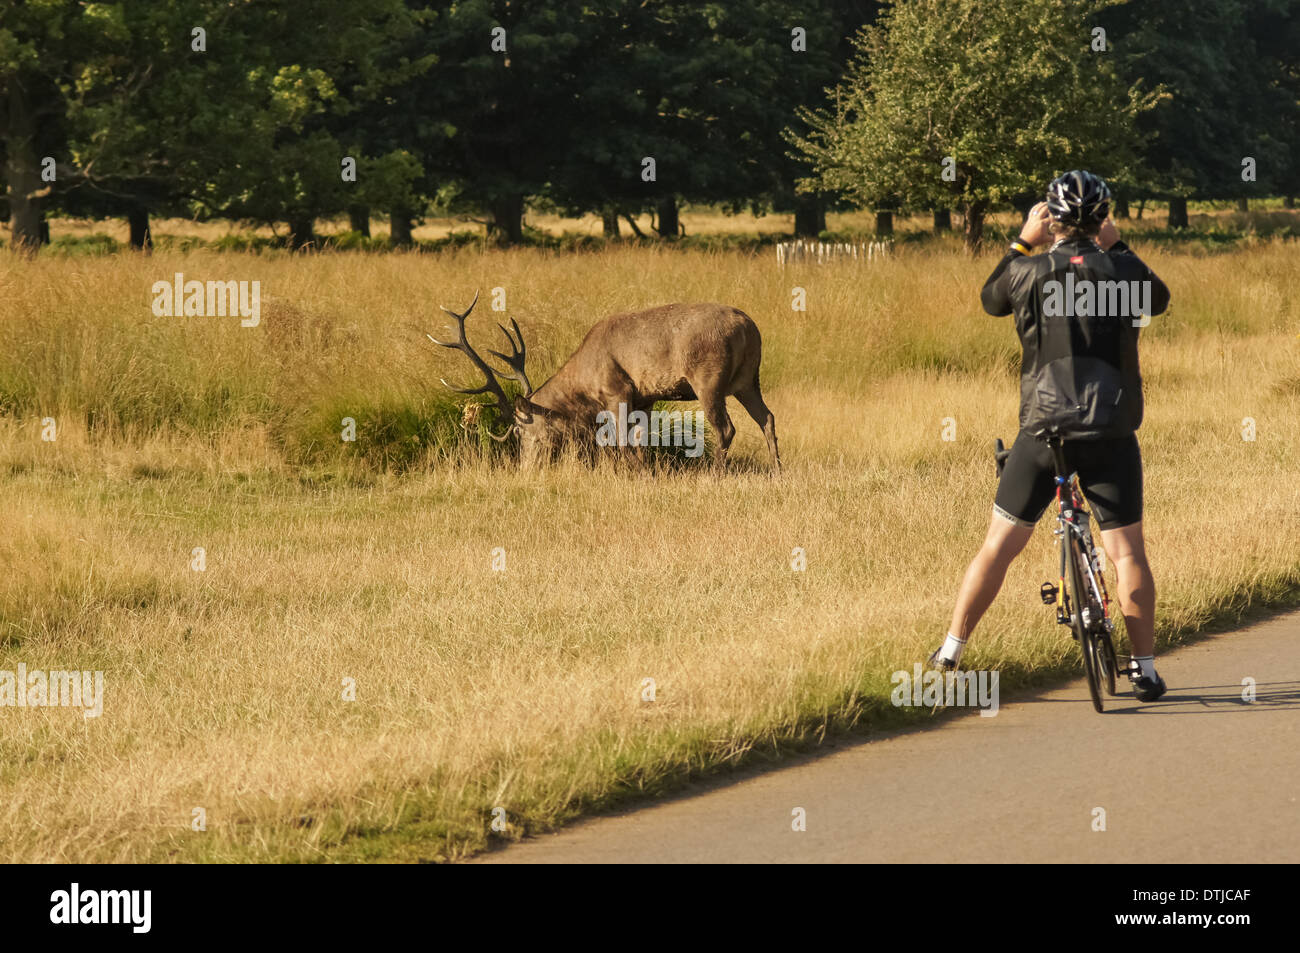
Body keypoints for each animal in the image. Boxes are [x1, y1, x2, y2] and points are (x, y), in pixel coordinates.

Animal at [426, 289, 774, 468]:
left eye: (522, 432)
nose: (525, 468)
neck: (585, 382)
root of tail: (749, 326)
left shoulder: (616, 389)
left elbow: (621, 442)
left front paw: (635, 478)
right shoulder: (645, 398)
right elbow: (640, 442)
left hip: (708, 378)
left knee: (726, 428)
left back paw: (714, 474)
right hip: (748, 379)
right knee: (767, 417)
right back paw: (777, 471)